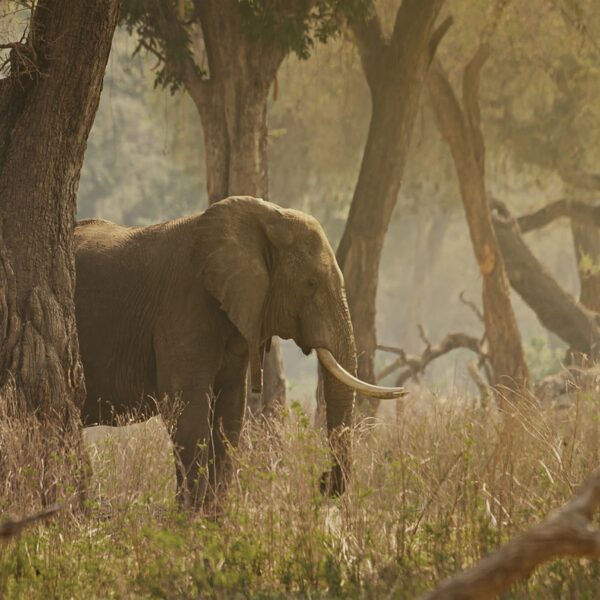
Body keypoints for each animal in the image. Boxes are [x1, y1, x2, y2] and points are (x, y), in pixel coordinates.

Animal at [75, 197, 404, 506]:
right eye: (311, 283)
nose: (324, 483)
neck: (265, 219)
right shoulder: (182, 308)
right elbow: (187, 408)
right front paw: (189, 519)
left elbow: (230, 411)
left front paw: (212, 518)